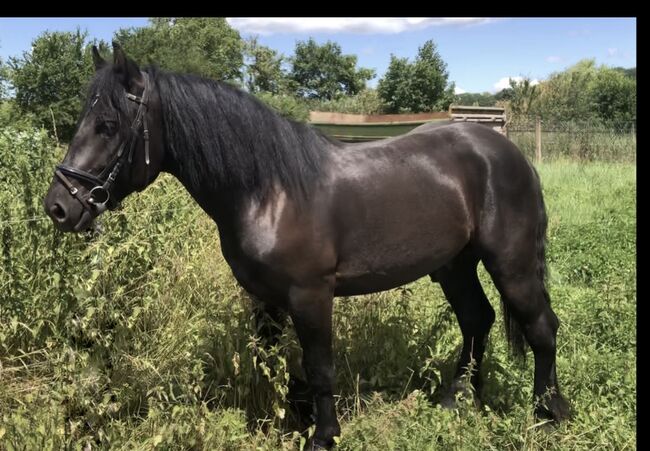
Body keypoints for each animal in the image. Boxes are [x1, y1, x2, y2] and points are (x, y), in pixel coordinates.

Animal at [43, 45, 568, 448]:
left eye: (108, 125)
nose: (58, 207)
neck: (268, 191)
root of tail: (509, 153)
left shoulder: (310, 296)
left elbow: (318, 367)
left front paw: (323, 435)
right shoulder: (265, 298)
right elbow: (271, 362)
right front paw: (278, 418)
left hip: (512, 264)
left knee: (540, 326)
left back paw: (548, 411)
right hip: (455, 265)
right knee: (477, 319)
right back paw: (458, 399)